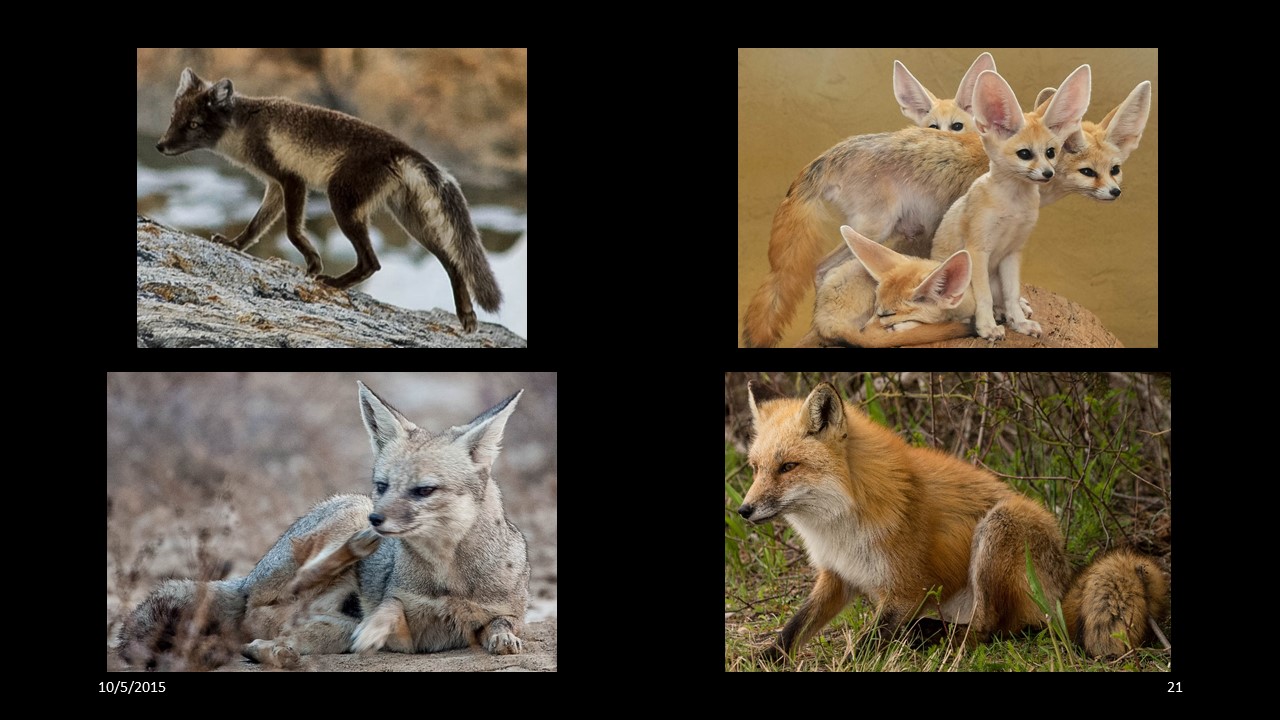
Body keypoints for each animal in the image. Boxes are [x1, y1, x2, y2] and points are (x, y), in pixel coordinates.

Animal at [119, 382, 529, 670]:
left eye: (423, 490)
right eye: (383, 485)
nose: (377, 519)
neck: (449, 578)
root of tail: (245, 581)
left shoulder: (503, 611)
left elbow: (502, 623)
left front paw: (502, 640)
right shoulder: (407, 630)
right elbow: (389, 608)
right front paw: (375, 627)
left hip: (331, 625)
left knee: (262, 637)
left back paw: (274, 651)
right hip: (346, 515)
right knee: (279, 593)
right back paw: (354, 550)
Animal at [156, 68, 501, 333]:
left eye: (194, 124)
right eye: (173, 117)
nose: (160, 146)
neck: (246, 128)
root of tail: (403, 148)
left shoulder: (292, 180)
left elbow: (292, 231)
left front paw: (312, 262)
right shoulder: (275, 186)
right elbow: (256, 226)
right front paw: (233, 245)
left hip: (343, 203)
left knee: (373, 262)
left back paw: (333, 283)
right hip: (410, 221)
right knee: (452, 262)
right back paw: (466, 316)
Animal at [737, 381, 1169, 659]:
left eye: (788, 467)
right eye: (756, 468)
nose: (743, 510)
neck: (840, 523)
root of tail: (1063, 586)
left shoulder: (907, 589)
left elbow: (863, 646)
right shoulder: (837, 576)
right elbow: (793, 629)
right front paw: (762, 658)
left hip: (998, 529)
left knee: (992, 630)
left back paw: (934, 641)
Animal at [742, 73, 1152, 347]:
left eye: (1114, 170)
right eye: (1088, 172)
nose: (1115, 192)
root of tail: (831, 152)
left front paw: (1013, 309)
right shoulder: (958, 229)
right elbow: (969, 279)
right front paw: (995, 314)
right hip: (874, 229)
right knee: (822, 269)